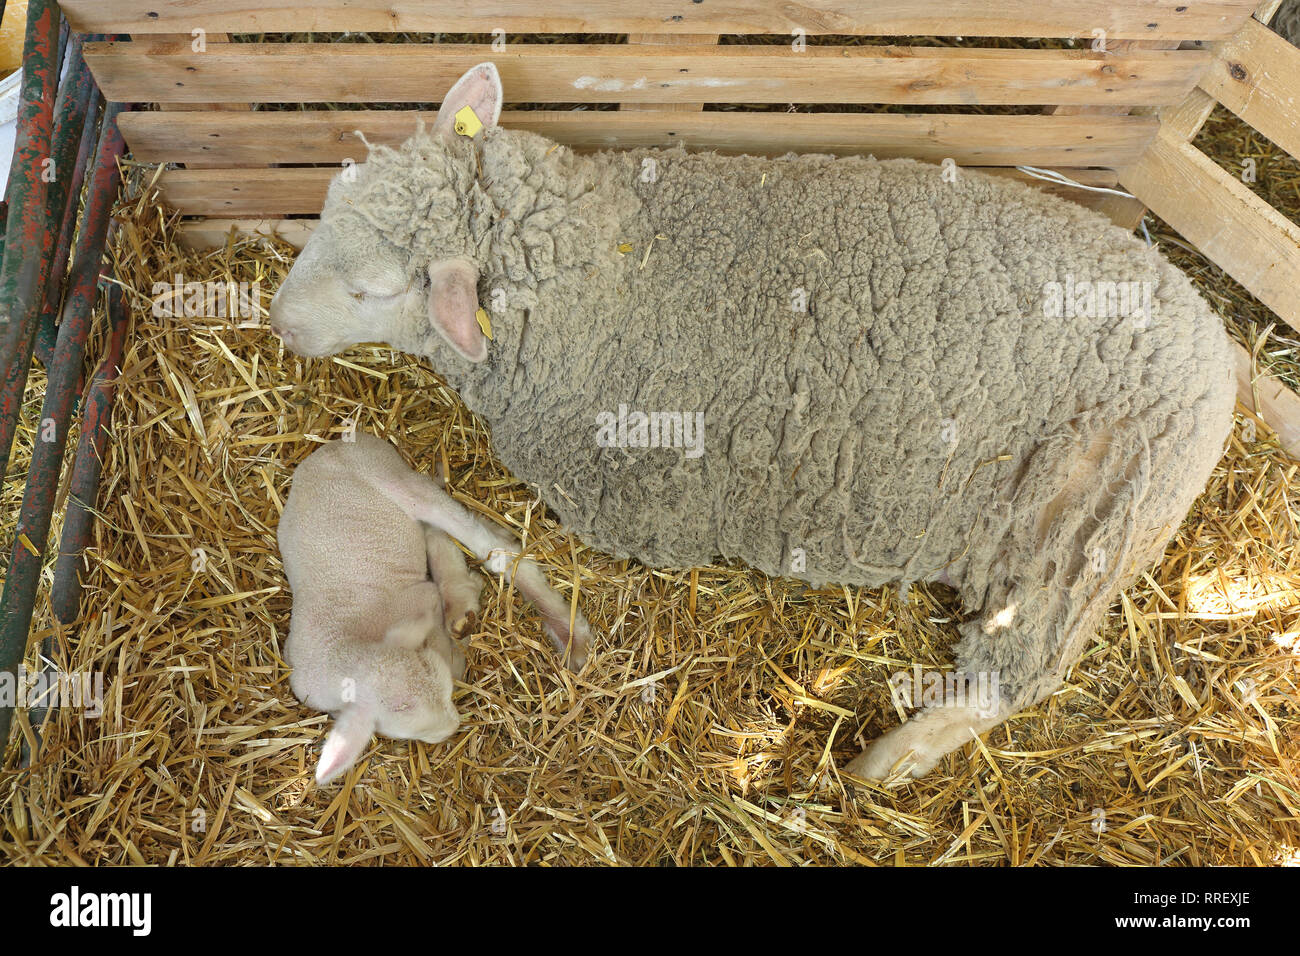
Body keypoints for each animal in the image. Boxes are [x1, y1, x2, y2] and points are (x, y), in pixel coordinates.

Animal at [278, 431, 591, 784]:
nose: (454, 727)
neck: (344, 648)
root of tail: (333, 445)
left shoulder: (419, 602)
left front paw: (461, 623)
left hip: (392, 478)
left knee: (487, 543)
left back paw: (567, 632)